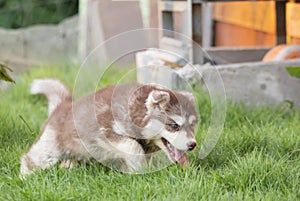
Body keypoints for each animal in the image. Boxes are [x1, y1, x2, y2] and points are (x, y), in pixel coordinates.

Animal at [19, 78, 198, 176]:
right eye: (174, 125)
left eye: (193, 125)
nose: (192, 145)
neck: (135, 110)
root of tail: (62, 106)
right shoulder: (105, 131)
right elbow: (133, 146)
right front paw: (139, 171)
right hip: (50, 147)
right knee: (30, 159)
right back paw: (25, 177)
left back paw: (68, 166)